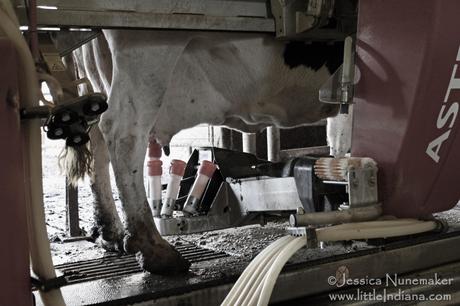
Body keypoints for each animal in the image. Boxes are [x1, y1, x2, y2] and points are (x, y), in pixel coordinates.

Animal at [59, 29, 344, 274]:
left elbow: (338, 139)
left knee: (96, 139)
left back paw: (112, 233)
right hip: (148, 50)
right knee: (122, 131)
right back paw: (155, 249)